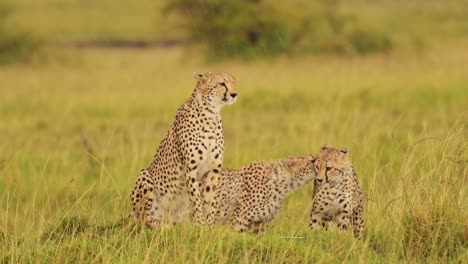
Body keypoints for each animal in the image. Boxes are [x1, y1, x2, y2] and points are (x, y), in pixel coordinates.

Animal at [130, 71, 238, 227]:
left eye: (233, 83)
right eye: (221, 84)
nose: (235, 94)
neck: (211, 114)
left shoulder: (212, 170)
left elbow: (210, 201)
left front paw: (209, 226)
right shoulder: (190, 169)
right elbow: (196, 200)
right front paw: (201, 225)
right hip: (144, 175)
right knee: (142, 219)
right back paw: (159, 224)